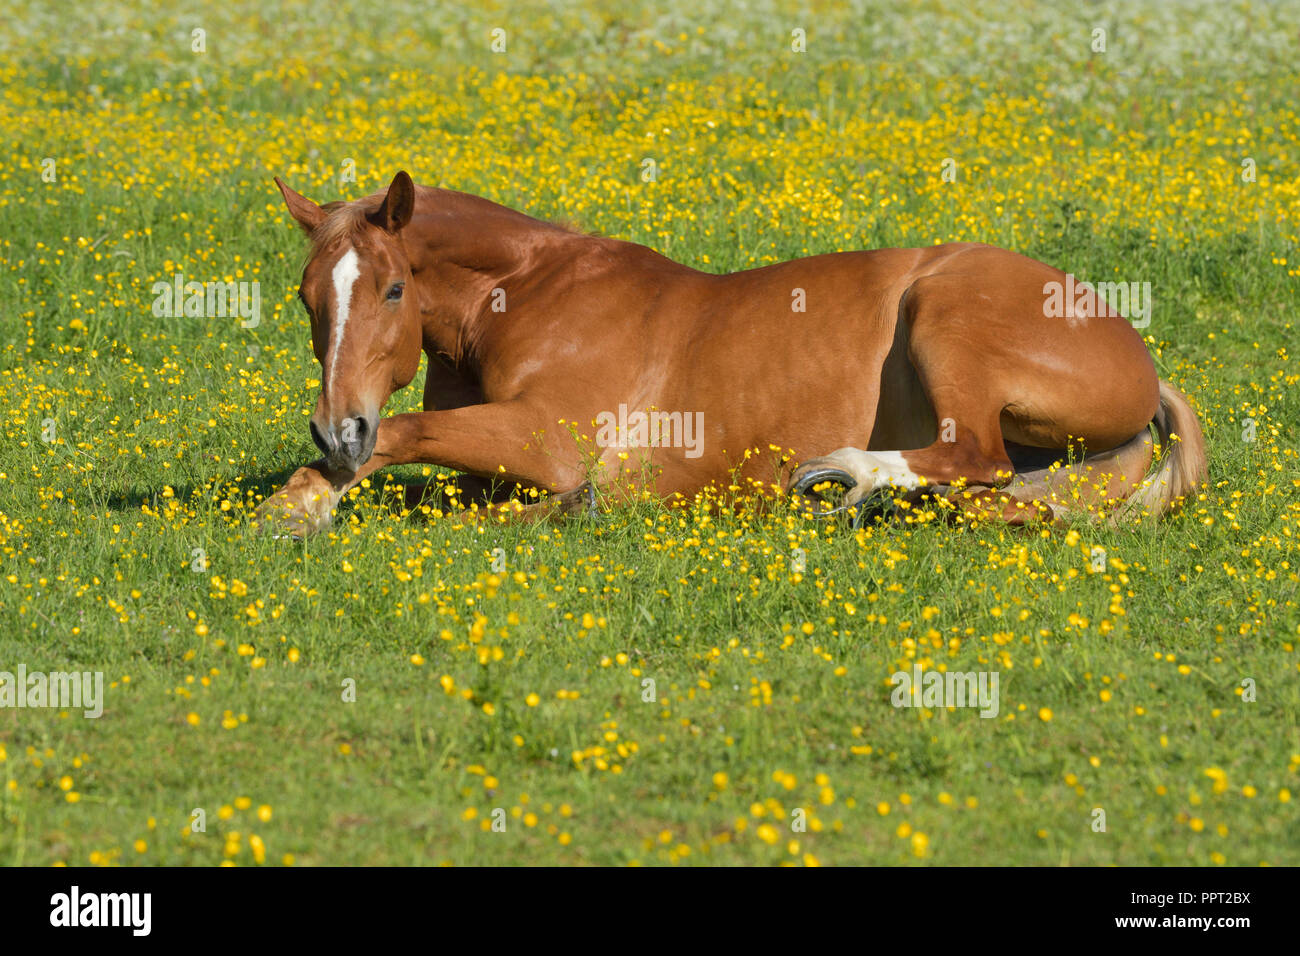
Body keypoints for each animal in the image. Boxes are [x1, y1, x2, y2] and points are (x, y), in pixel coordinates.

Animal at [253, 170, 1206, 530]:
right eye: (307, 298)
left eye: (392, 289)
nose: (336, 428)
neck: (527, 293)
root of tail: (1145, 368)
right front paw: (306, 494)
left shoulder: (549, 442)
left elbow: (408, 441)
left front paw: (305, 499)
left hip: (945, 313)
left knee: (972, 453)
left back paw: (838, 477)